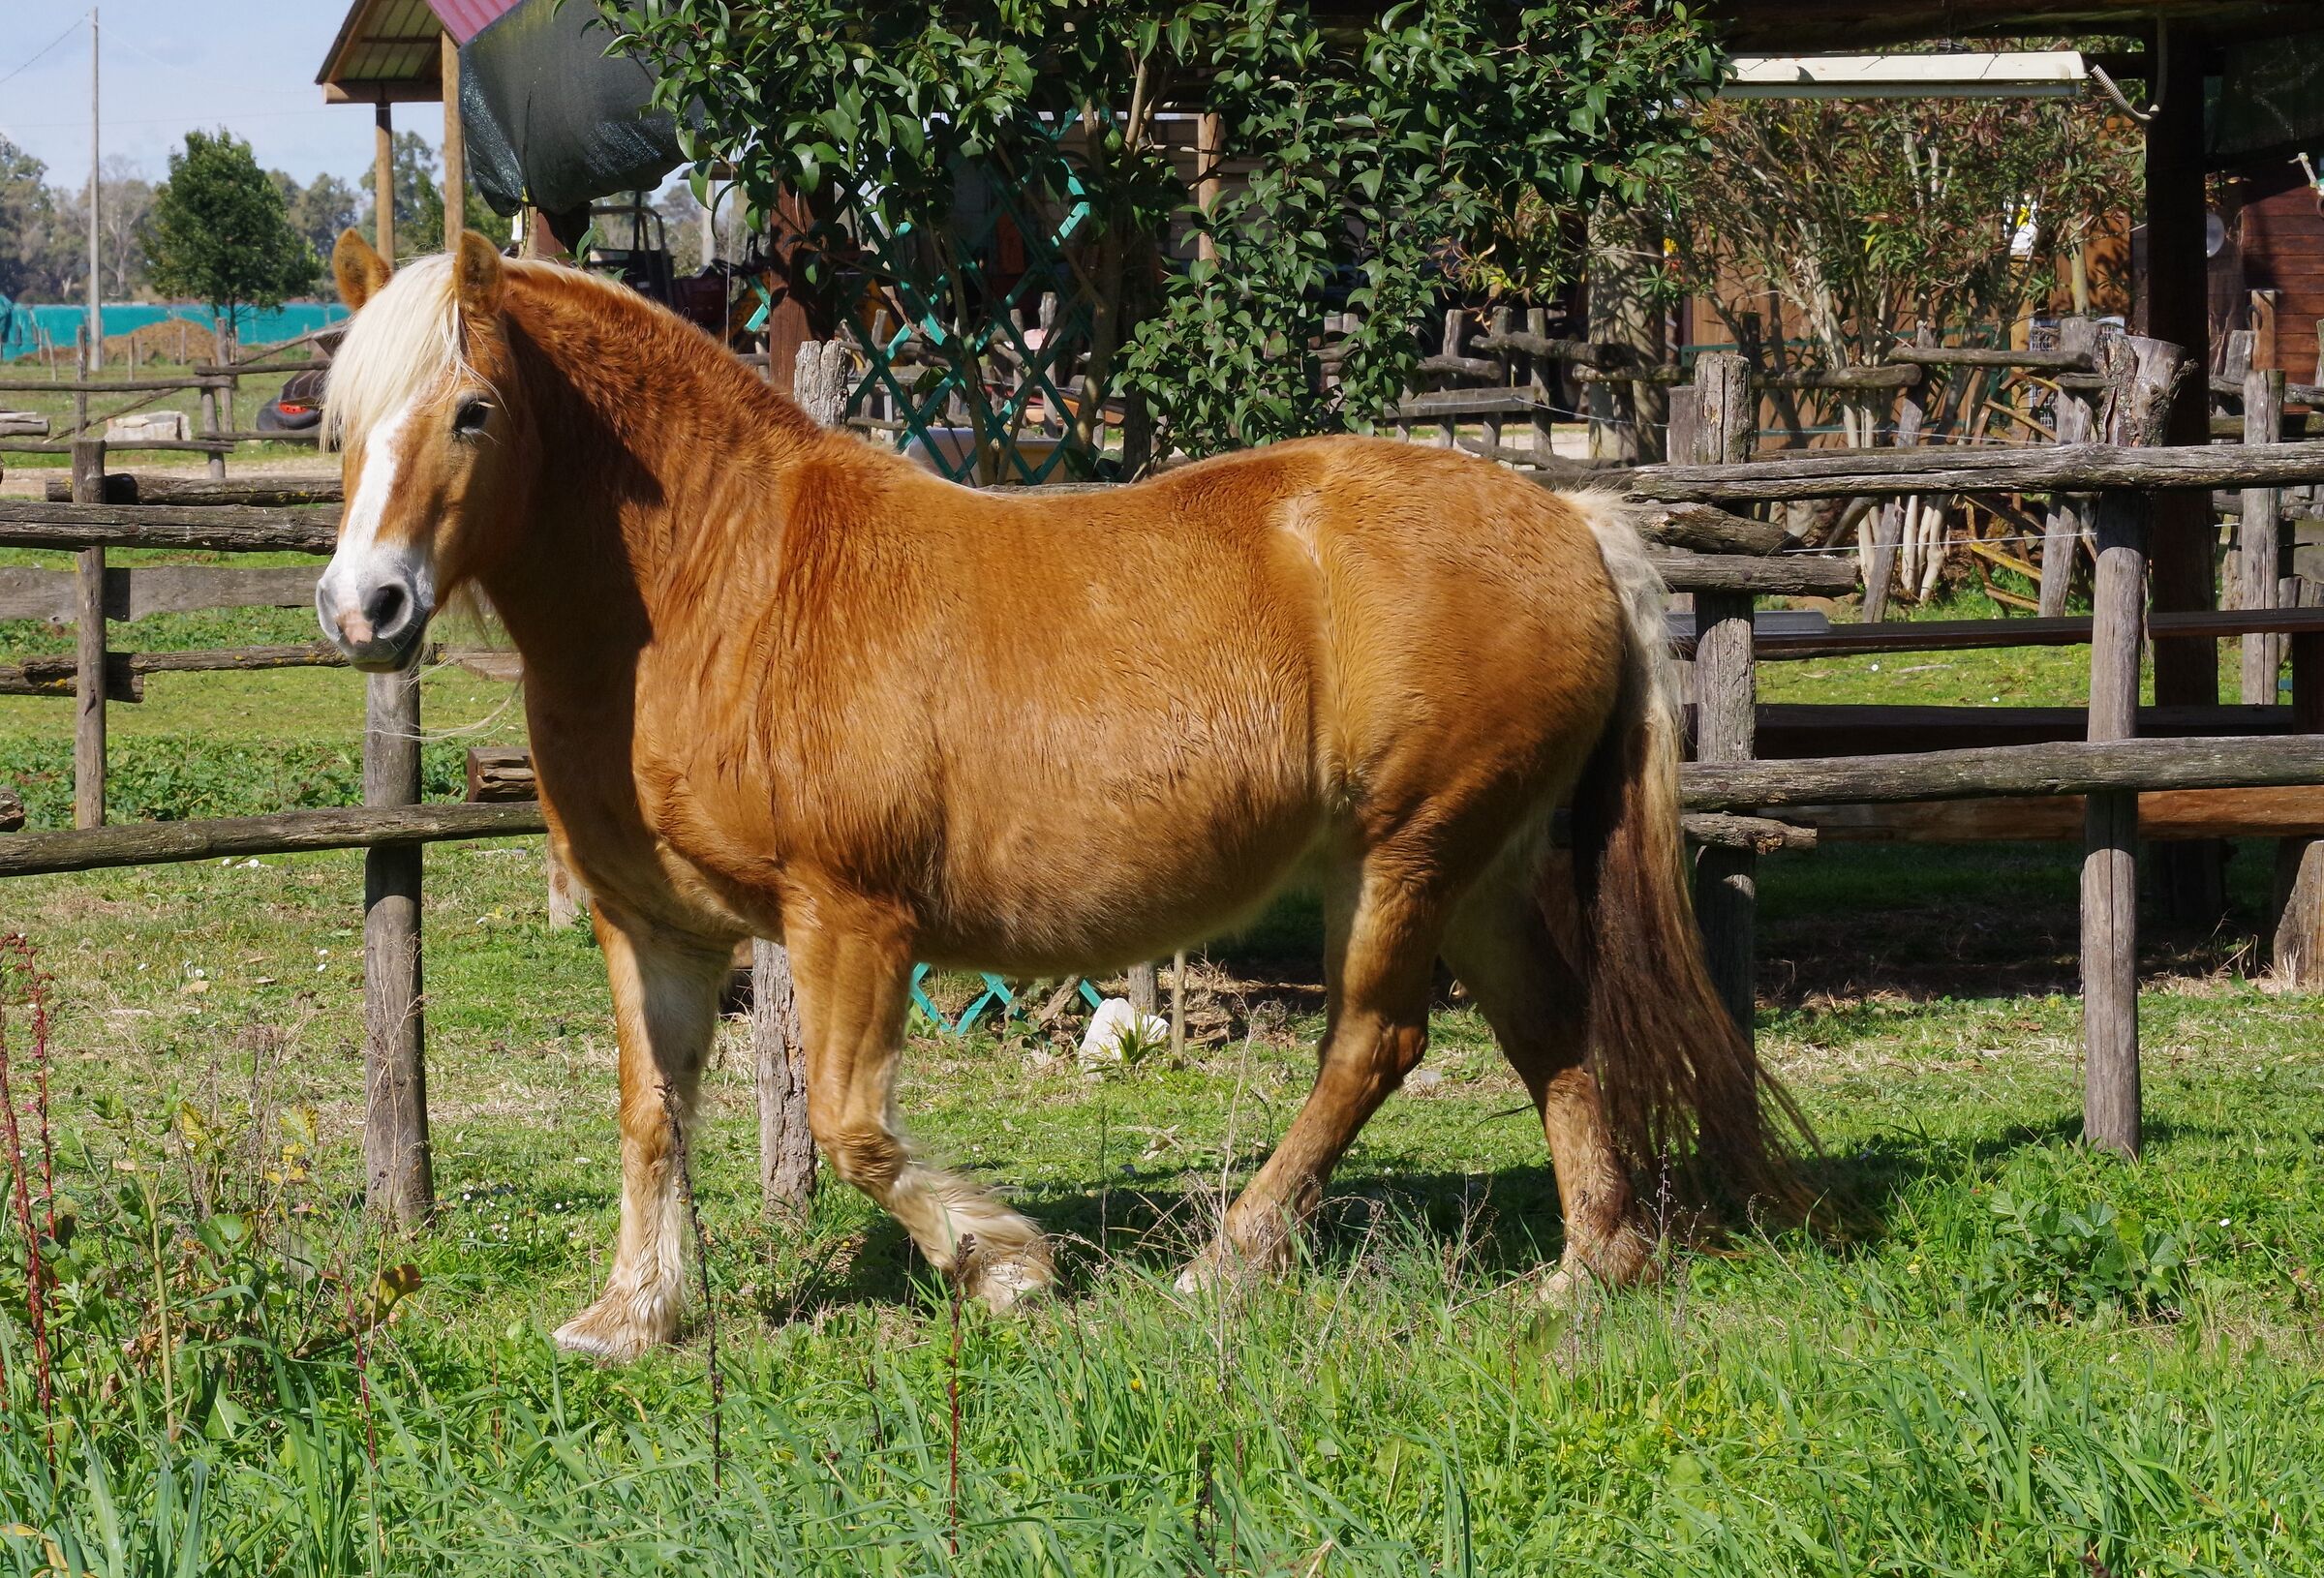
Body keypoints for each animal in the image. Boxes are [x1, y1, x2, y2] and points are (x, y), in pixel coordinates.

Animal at [317, 228, 1805, 1361]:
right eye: (339, 426)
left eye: (473, 411)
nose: (361, 607)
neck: (720, 588)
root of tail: (1572, 521)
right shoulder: (657, 928)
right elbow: (649, 1116)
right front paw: (631, 1316)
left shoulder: (849, 920)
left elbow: (850, 1128)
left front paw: (1004, 1266)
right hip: (1477, 868)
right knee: (1550, 1029)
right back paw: (1590, 1266)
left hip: (1407, 857)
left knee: (1372, 1046)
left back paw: (1233, 1258)